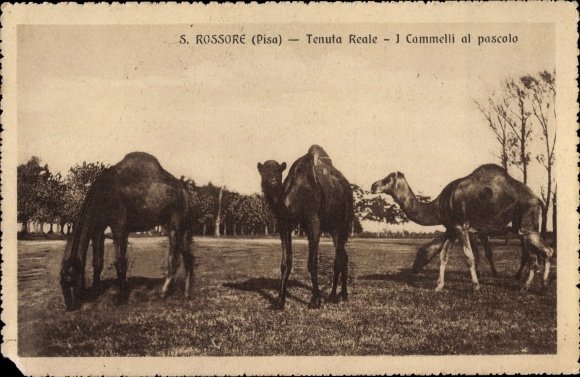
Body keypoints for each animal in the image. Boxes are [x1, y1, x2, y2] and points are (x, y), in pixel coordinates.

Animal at [59, 151, 195, 310]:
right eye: (61, 282)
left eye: (73, 280)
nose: (70, 306)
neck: (102, 194)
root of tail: (186, 195)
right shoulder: (98, 227)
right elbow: (97, 261)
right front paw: (95, 289)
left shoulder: (120, 227)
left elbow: (120, 261)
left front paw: (122, 295)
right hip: (184, 227)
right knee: (189, 257)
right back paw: (187, 294)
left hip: (175, 224)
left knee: (173, 258)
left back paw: (163, 293)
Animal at [258, 145, 354, 306]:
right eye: (263, 172)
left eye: (278, 172)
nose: (271, 181)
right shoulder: (285, 223)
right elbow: (286, 262)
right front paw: (279, 301)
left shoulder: (313, 221)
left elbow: (312, 263)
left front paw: (315, 300)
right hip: (333, 228)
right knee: (342, 255)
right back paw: (336, 294)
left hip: (343, 223)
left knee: (340, 257)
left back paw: (339, 295)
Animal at [372, 164, 552, 290]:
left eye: (387, 179)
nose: (373, 186)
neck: (439, 205)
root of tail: (538, 199)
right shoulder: (452, 229)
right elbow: (443, 256)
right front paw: (438, 286)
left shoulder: (462, 226)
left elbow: (469, 257)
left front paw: (476, 286)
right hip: (522, 229)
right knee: (535, 256)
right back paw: (535, 286)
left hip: (527, 225)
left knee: (545, 252)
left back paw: (531, 287)